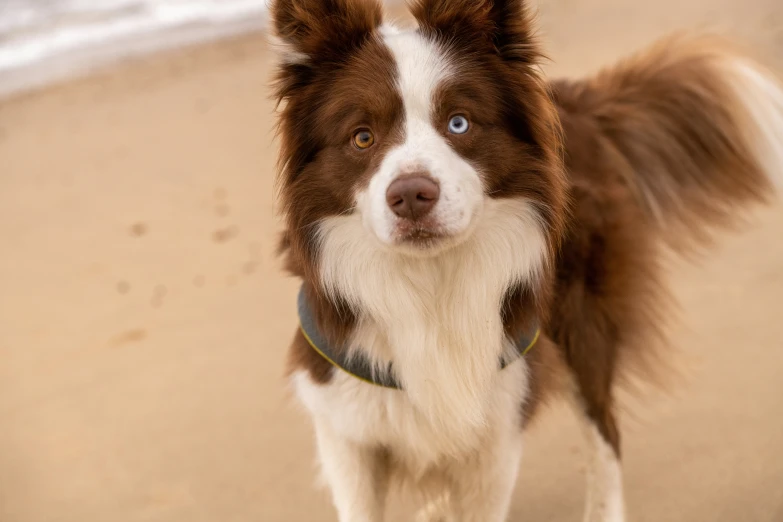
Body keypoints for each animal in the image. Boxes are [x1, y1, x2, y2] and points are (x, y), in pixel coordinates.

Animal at [270, 0, 783, 516]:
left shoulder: (501, 421)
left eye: (459, 122)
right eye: (362, 137)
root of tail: (574, 99)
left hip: (580, 325)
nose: (411, 195)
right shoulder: (345, 426)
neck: (431, 285)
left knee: (605, 432)